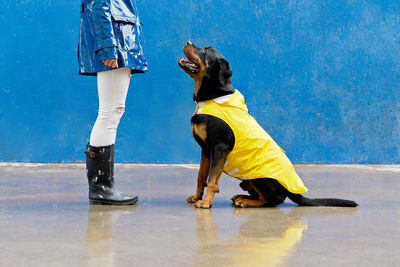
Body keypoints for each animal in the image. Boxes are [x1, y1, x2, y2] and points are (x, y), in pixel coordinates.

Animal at [177, 41, 358, 209]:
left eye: (204, 50)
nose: (187, 42)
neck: (213, 96)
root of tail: (291, 191)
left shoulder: (220, 148)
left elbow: (212, 180)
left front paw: (206, 202)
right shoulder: (206, 149)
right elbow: (201, 177)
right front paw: (196, 197)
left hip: (260, 177)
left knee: (272, 201)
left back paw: (246, 202)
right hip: (247, 180)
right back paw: (241, 197)